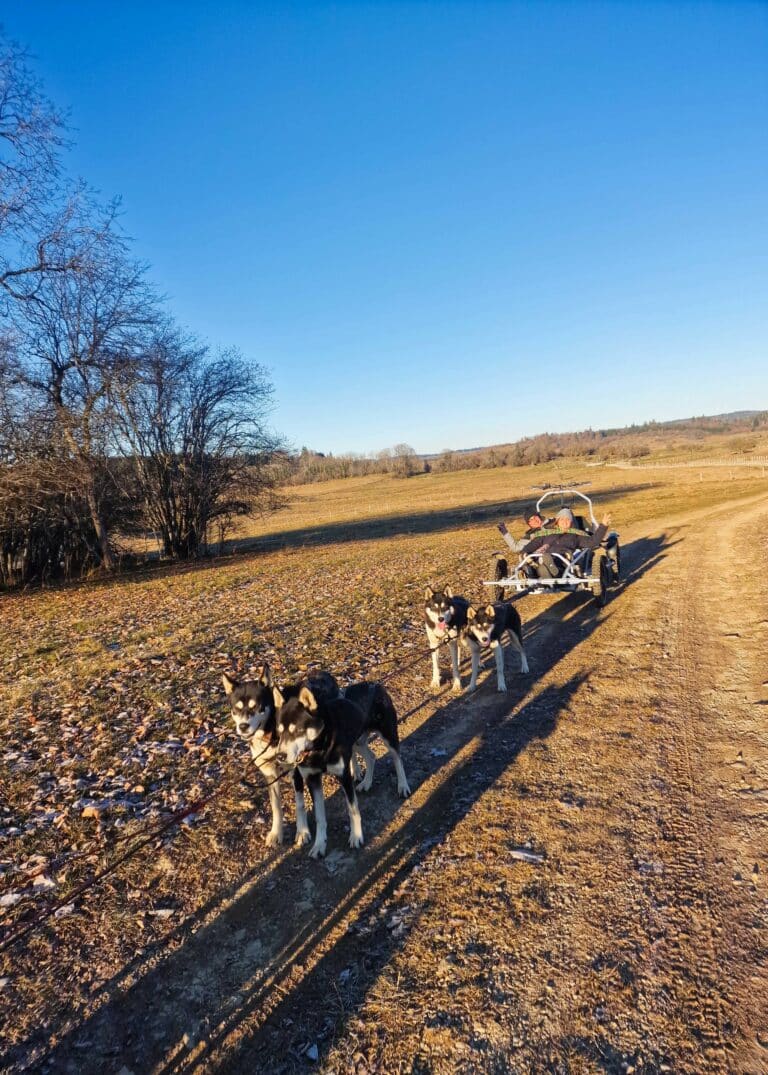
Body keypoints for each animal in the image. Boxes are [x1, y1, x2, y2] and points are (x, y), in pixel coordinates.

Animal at [275, 680, 410, 858]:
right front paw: (320, 844)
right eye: (279, 731)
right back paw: (367, 783)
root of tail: (374, 684)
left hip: (388, 735)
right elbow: (319, 817)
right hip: (357, 742)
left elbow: (353, 810)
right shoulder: (312, 780)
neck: (320, 748)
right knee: (371, 757)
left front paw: (356, 836)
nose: (280, 756)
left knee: (398, 759)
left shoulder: (344, 776)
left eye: (297, 730)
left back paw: (403, 786)